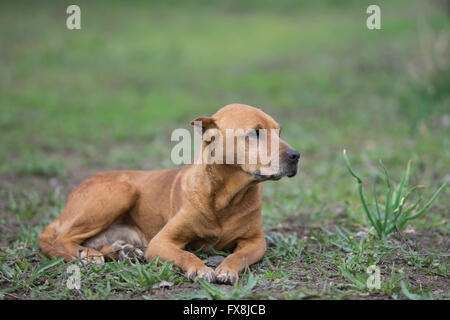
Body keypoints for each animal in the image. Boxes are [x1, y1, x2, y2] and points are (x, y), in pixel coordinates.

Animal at [38, 104, 298, 284]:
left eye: (279, 131)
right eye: (255, 133)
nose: (296, 155)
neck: (226, 197)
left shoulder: (255, 242)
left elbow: (238, 256)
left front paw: (226, 268)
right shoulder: (161, 242)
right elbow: (186, 255)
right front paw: (200, 268)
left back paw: (123, 252)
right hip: (121, 191)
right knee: (60, 240)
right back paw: (89, 255)